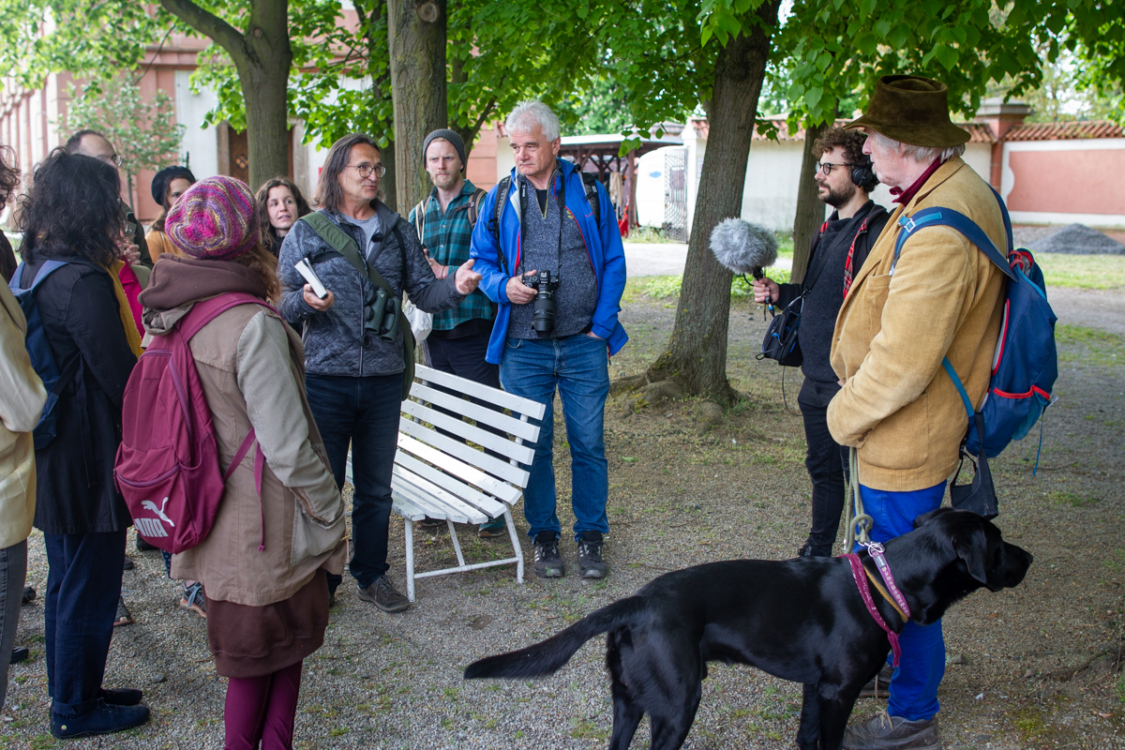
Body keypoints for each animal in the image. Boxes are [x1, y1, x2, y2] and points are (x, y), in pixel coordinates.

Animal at [468, 510, 1035, 750]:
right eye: (999, 543)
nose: (1030, 558)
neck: (884, 582)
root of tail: (638, 601)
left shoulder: (815, 689)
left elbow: (806, 739)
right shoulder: (839, 692)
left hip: (628, 702)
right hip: (677, 705)